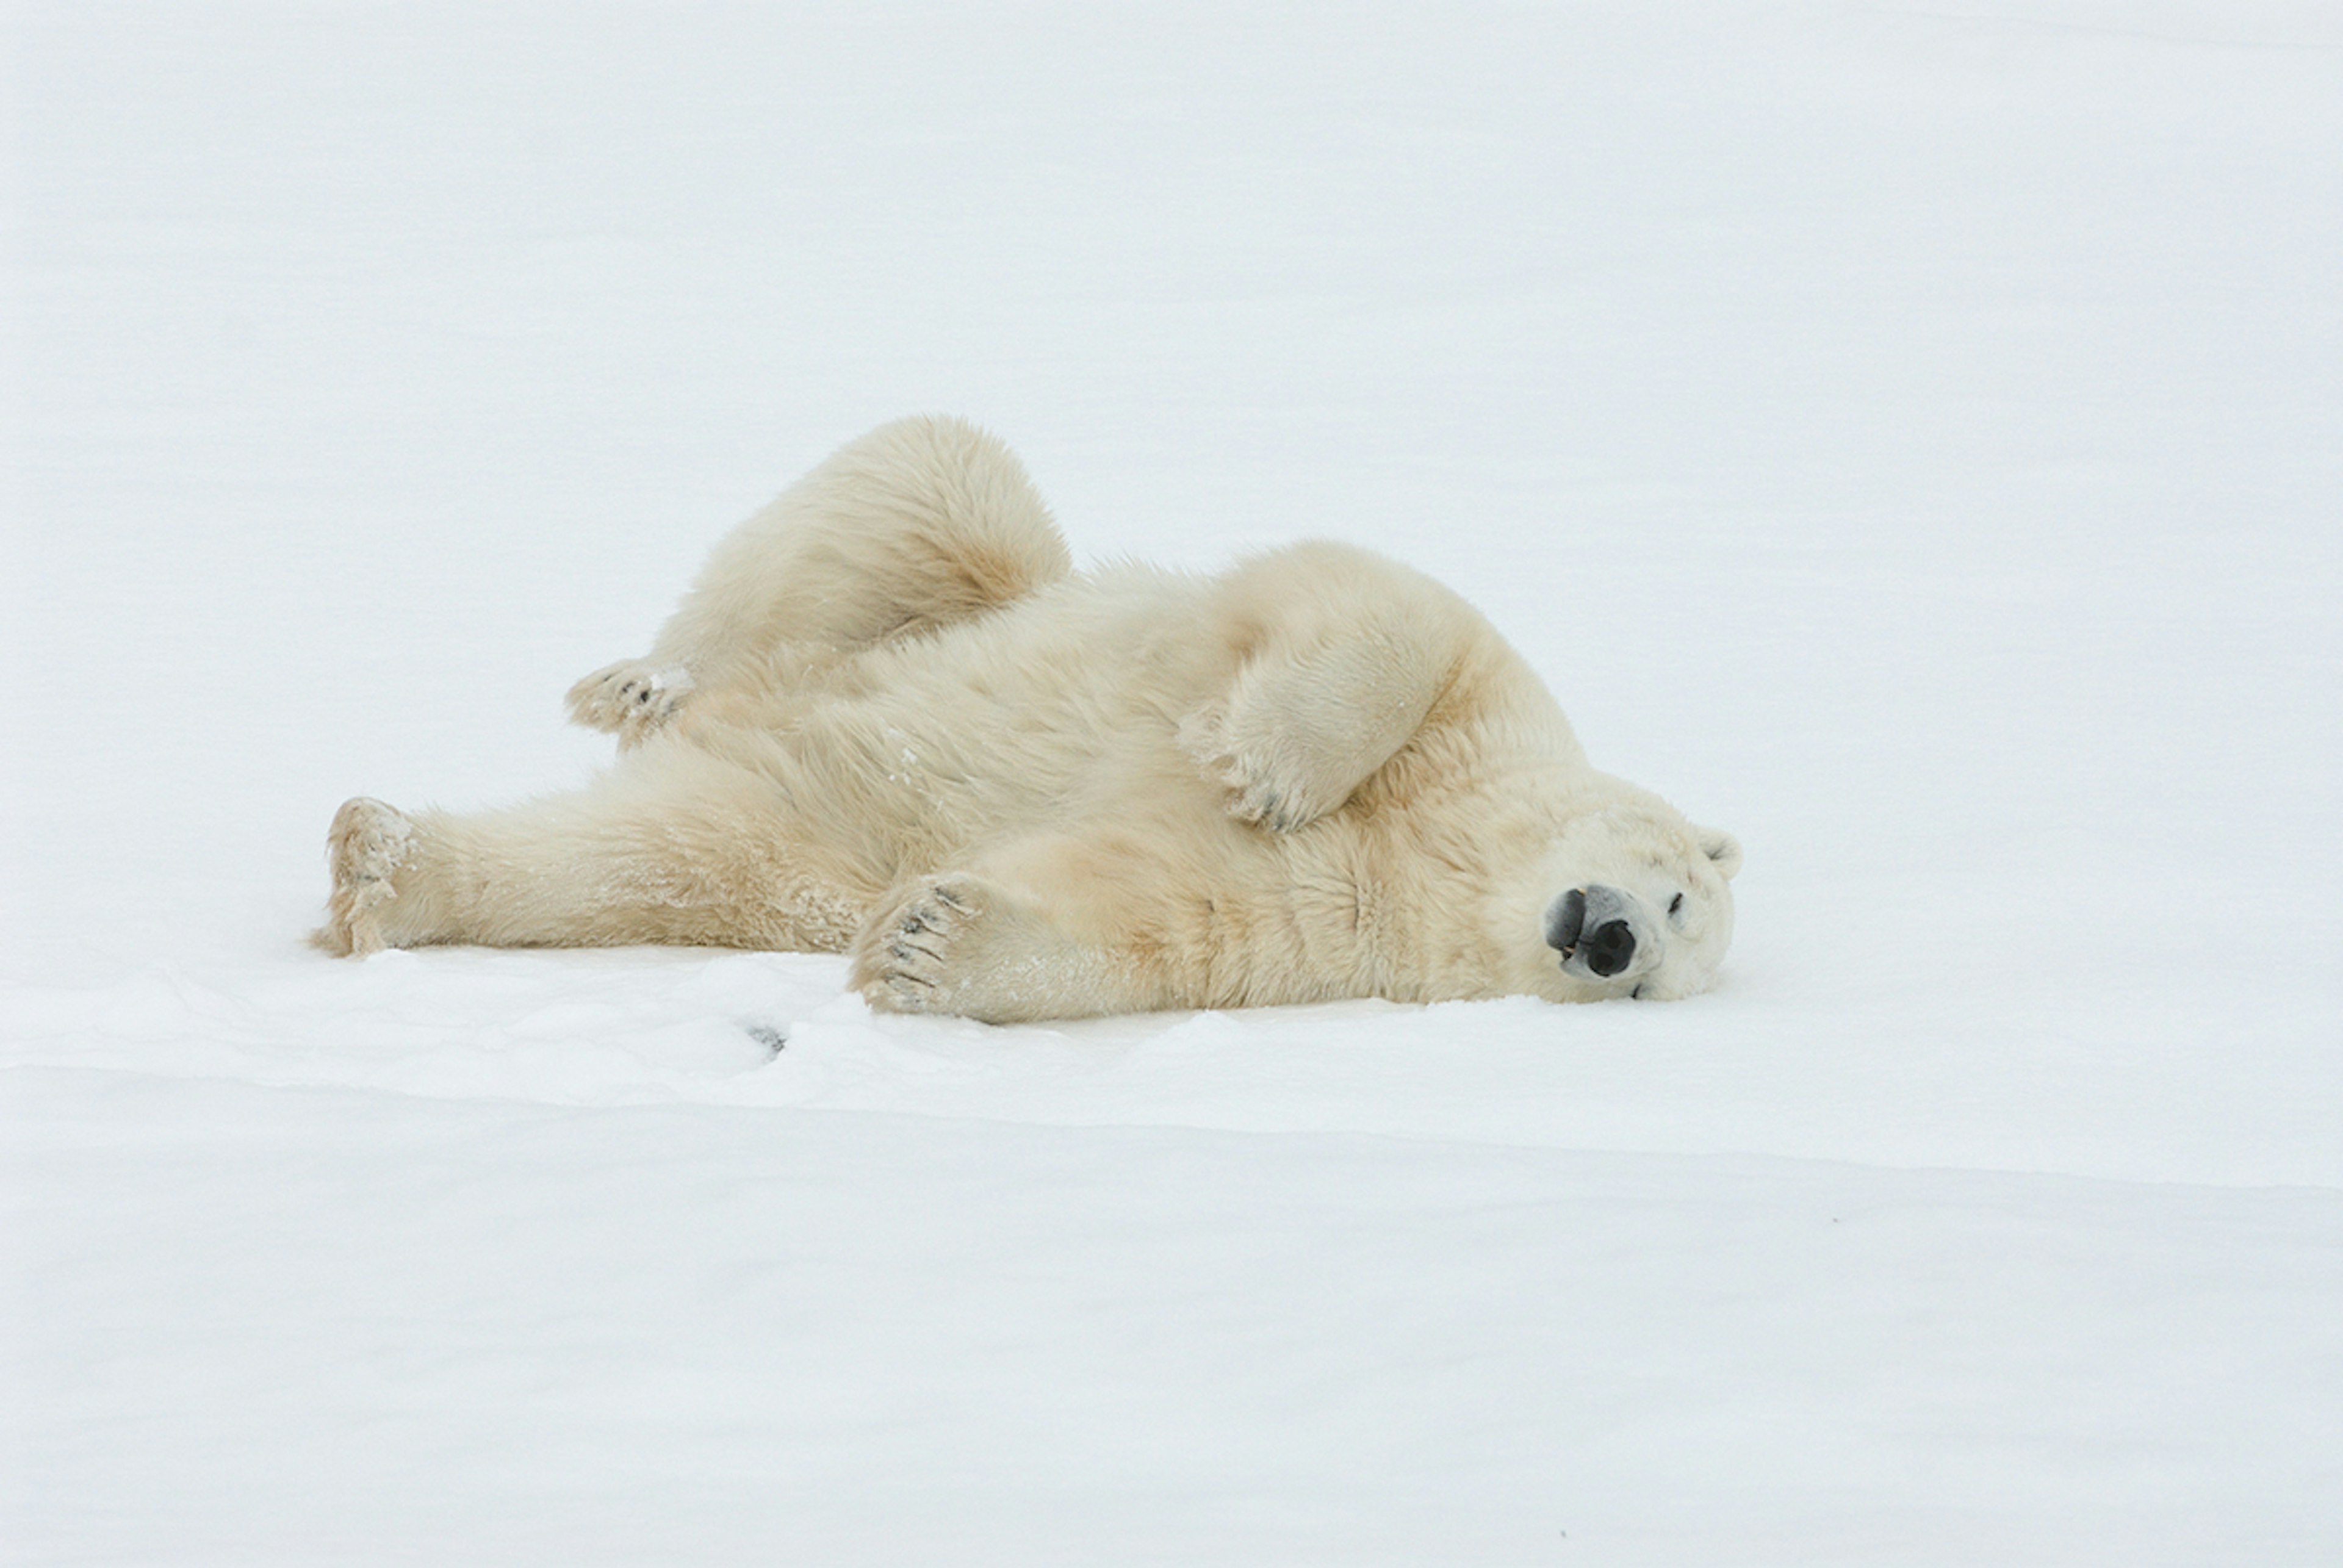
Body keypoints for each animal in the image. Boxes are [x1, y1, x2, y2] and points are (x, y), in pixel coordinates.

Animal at [316, 410, 1743, 1021]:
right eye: (1675, 889)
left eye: (1662, 972)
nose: (1610, 938)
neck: (1436, 842)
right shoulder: (1485, 712)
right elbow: (1387, 604)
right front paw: (1265, 766)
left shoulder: (1340, 926)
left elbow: (1153, 916)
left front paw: (928, 947)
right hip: (919, 595)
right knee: (938, 484)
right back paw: (647, 683)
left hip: (798, 831)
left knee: (647, 856)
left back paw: (389, 869)